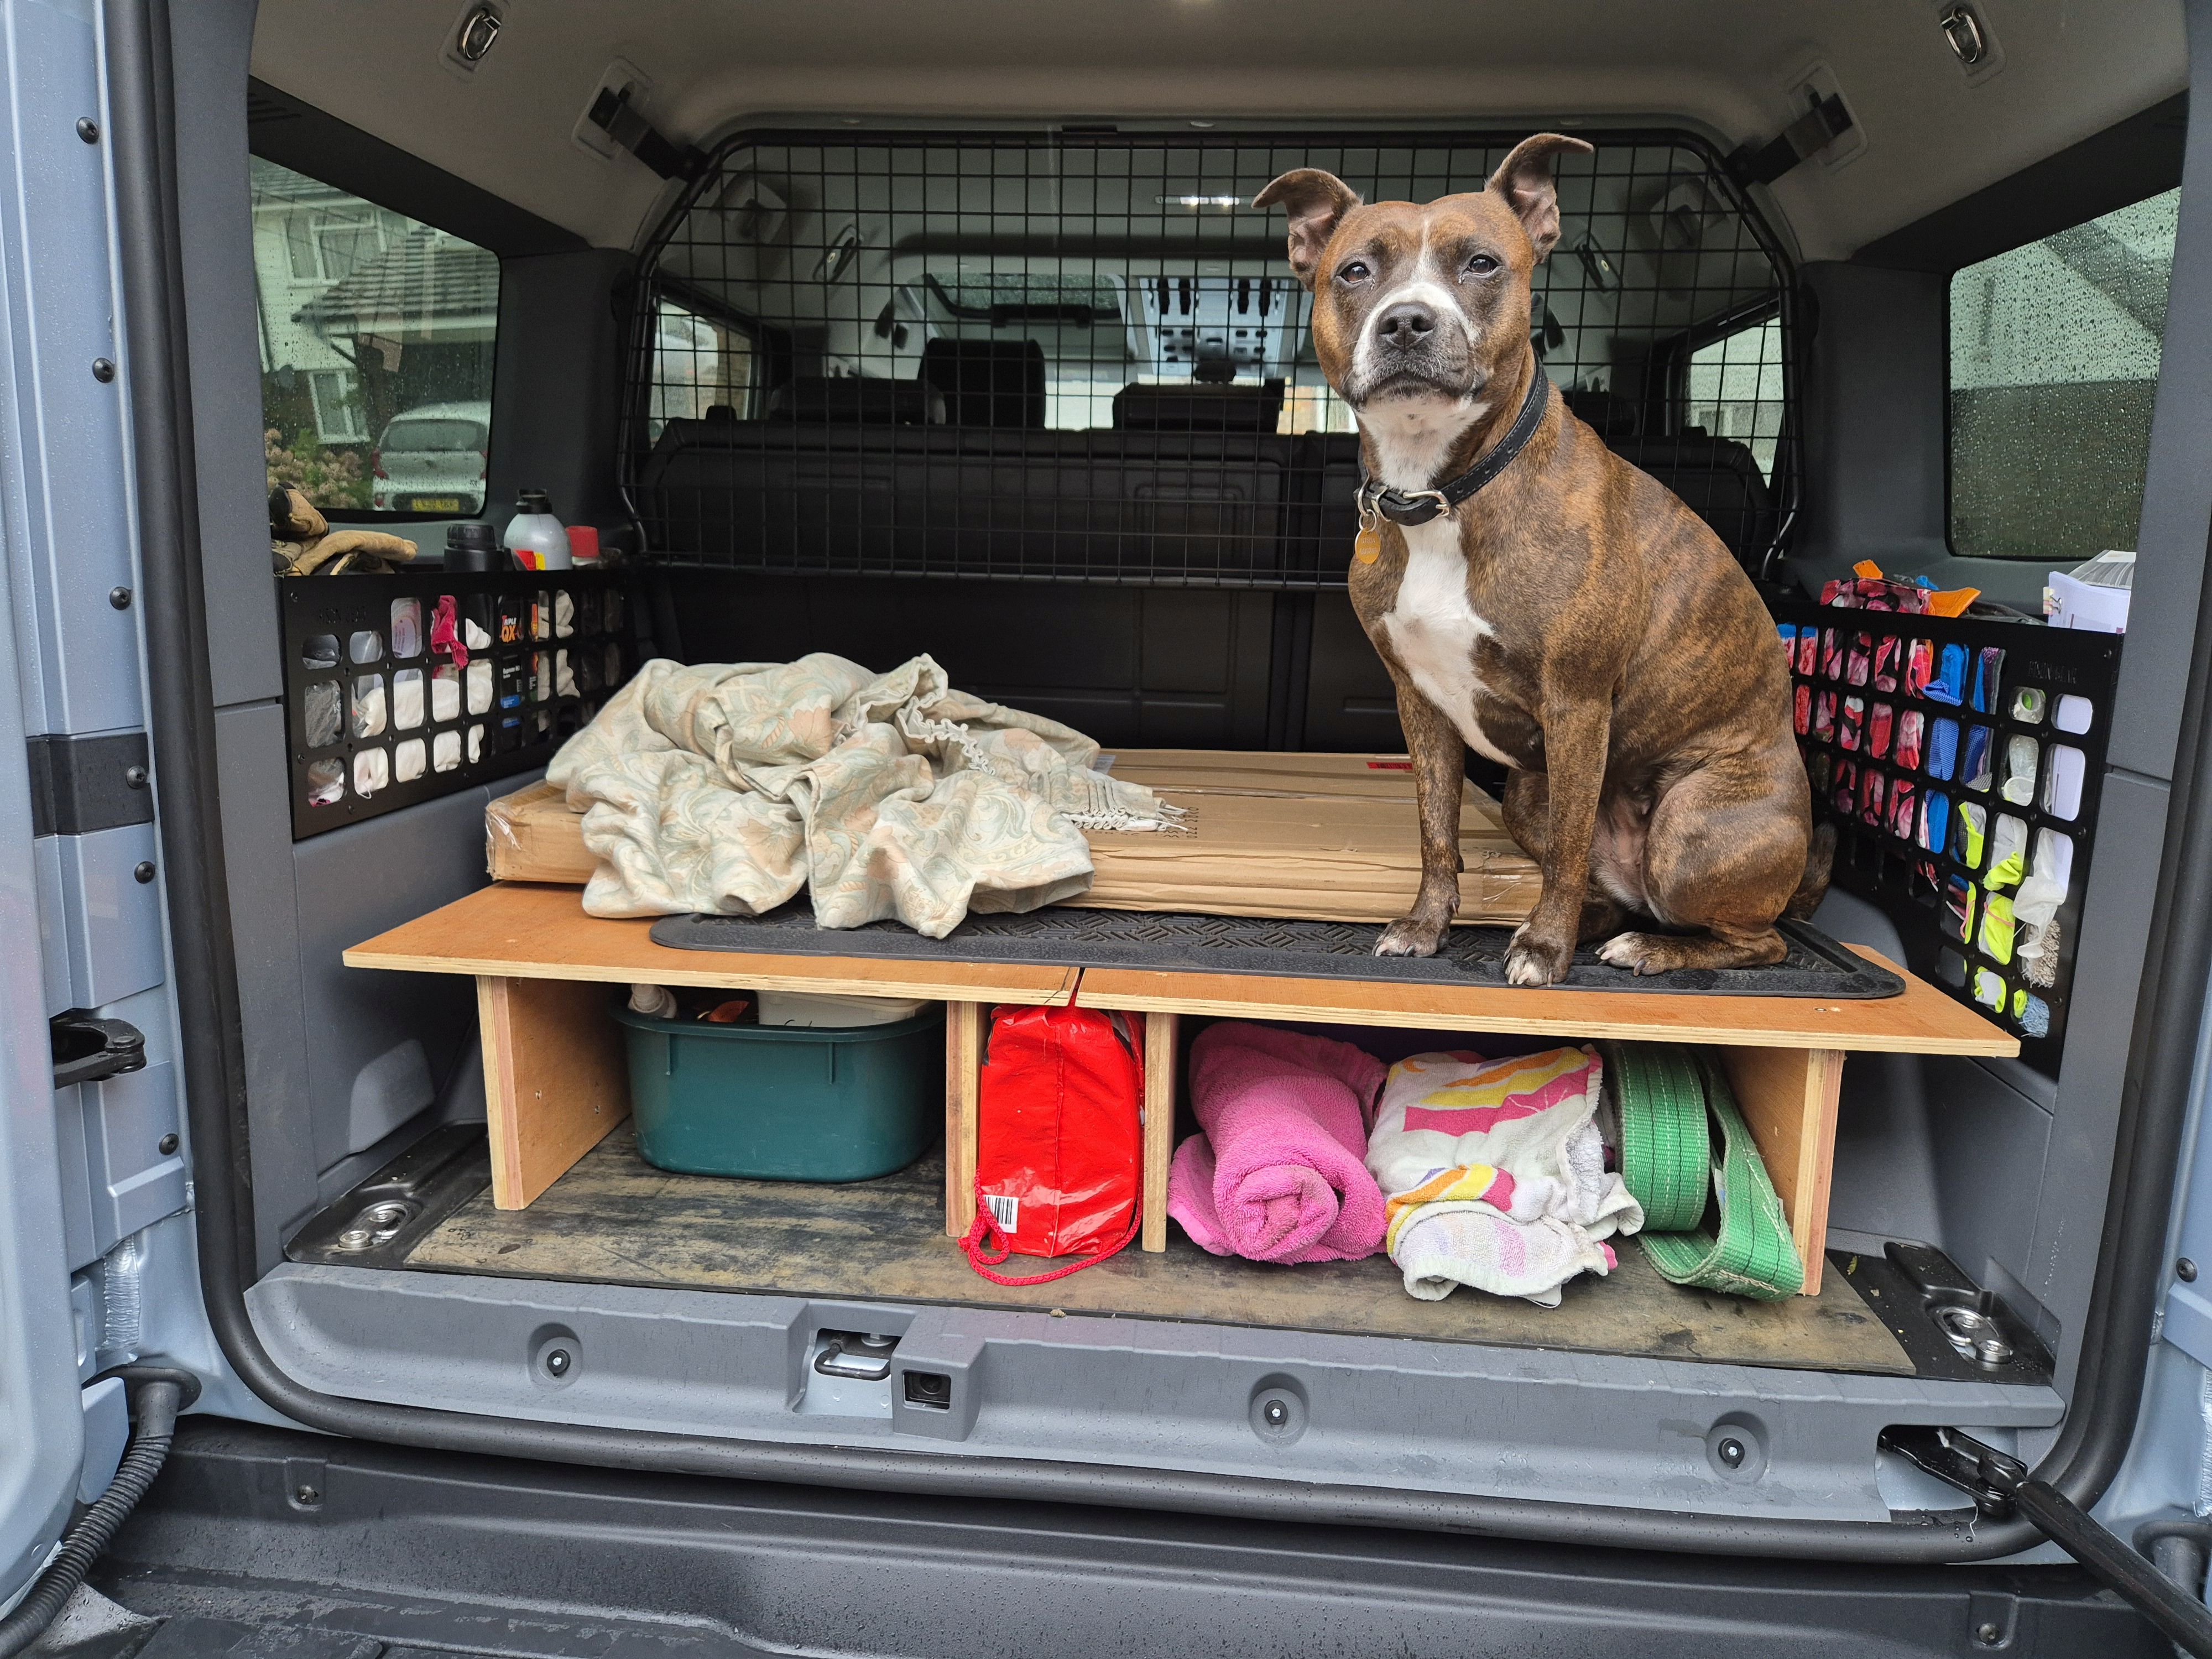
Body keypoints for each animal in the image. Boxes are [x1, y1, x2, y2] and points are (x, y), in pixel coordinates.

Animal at [1256, 137, 1823, 987]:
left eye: (1482, 263)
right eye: (1354, 271)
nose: (1407, 322)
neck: (1440, 491)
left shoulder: (1577, 705)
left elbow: (1564, 851)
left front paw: (1546, 953)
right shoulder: (1419, 704)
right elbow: (1436, 831)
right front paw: (1427, 926)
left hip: (1689, 827)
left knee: (1754, 937)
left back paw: (1642, 947)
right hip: (1529, 791)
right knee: (1611, 888)